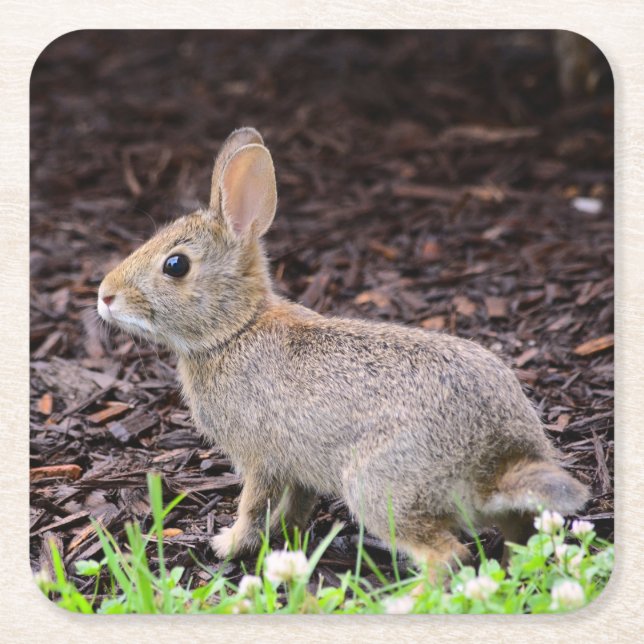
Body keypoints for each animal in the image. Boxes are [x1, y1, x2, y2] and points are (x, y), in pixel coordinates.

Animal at [97, 127, 589, 573]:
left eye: (175, 265)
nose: (104, 295)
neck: (235, 329)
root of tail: (497, 462)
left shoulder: (261, 460)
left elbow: (253, 507)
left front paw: (227, 545)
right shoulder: (296, 467)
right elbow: (296, 505)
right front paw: (287, 537)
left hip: (379, 489)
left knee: (447, 556)